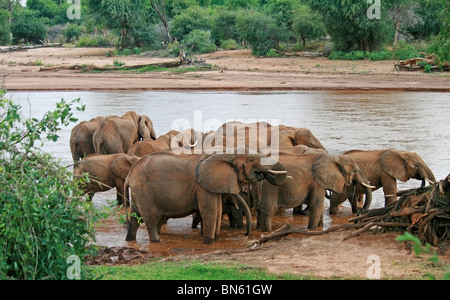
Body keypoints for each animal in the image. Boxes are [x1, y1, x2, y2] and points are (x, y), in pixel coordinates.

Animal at [123, 152, 286, 244]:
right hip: (144, 190)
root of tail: (129, 175)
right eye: (252, 159)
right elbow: (210, 212)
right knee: (150, 218)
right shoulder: (203, 186)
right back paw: (157, 241)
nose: (246, 234)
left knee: (134, 217)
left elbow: (217, 211)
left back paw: (130, 240)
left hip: (139, 191)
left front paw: (215, 239)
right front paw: (209, 243)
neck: (228, 155)